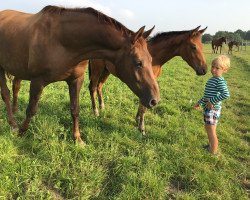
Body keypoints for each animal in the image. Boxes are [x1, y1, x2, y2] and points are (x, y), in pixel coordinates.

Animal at [0, 5, 160, 145]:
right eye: (138, 62)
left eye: (151, 59)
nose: (154, 100)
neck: (61, 40)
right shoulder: (38, 81)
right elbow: (31, 110)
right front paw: (21, 132)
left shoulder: (76, 80)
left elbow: (75, 109)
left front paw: (77, 138)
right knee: (6, 94)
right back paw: (13, 124)